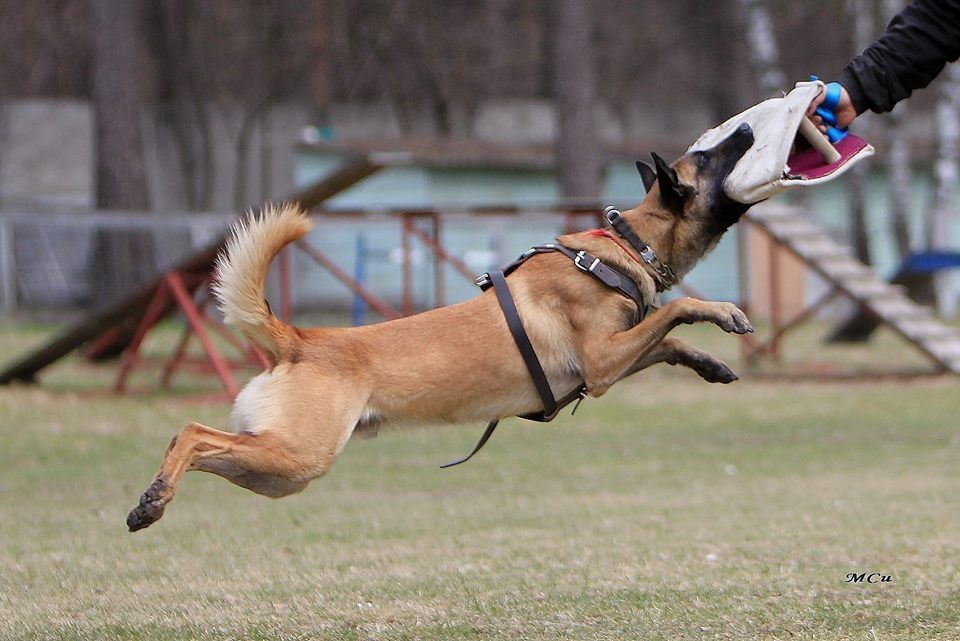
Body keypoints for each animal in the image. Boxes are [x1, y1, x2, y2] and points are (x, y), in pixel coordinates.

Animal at [125, 122, 756, 532]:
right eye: (705, 157)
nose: (749, 129)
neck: (625, 248)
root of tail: (302, 341)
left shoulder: (610, 360)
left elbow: (669, 338)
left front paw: (710, 363)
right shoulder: (601, 363)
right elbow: (677, 311)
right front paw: (723, 312)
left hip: (280, 469)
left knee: (198, 442)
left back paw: (152, 499)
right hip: (298, 455)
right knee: (191, 431)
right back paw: (154, 498)